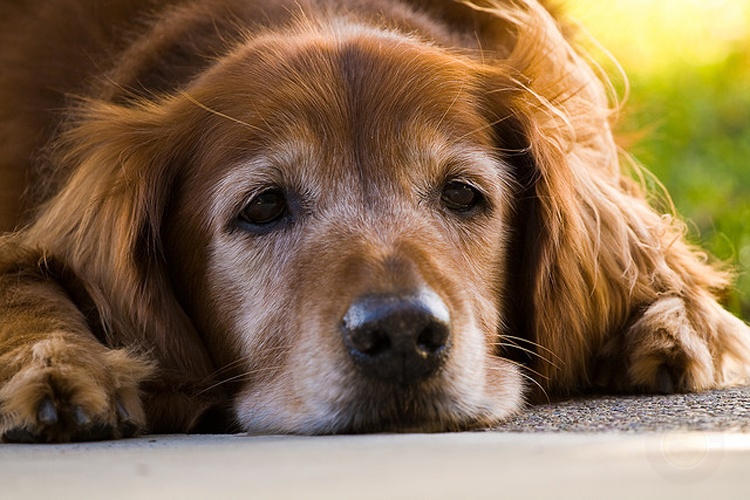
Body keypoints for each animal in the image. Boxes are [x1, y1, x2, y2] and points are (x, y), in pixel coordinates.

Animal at [0, 0, 748, 444]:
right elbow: (23, 278)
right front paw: (59, 365)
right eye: (263, 207)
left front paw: (675, 324)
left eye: (463, 194)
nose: (401, 336)